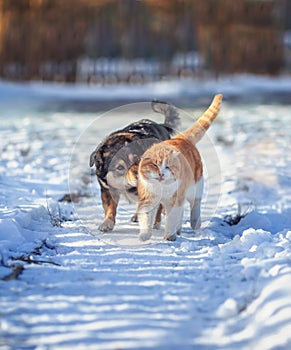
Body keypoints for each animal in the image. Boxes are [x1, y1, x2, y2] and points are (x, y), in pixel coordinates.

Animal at [89, 101, 180, 232]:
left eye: (139, 159)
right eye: (120, 168)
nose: (138, 174)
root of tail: (161, 126)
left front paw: (153, 223)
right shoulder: (107, 189)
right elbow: (110, 207)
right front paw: (107, 223)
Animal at [128, 93, 224, 241]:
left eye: (168, 167)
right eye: (154, 165)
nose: (161, 173)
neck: (161, 189)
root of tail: (181, 138)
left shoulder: (174, 201)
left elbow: (171, 219)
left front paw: (169, 236)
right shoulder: (148, 200)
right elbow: (146, 219)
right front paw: (145, 235)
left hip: (195, 187)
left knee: (195, 205)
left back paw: (194, 223)